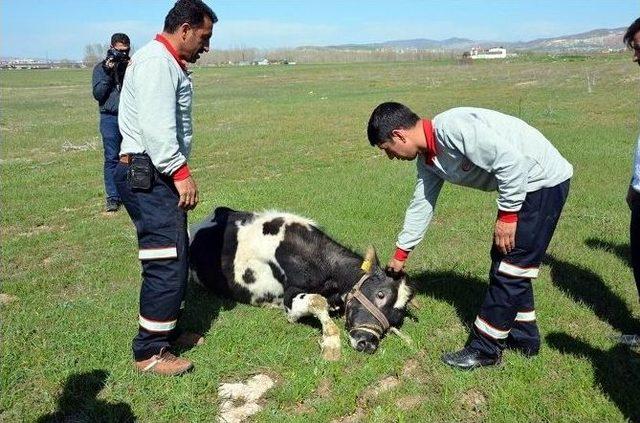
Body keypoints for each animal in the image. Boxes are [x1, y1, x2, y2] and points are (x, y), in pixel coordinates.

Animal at [188, 207, 416, 360]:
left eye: (396, 317)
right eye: (380, 295)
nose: (368, 343)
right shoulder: (289, 298)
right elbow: (317, 301)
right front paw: (331, 342)